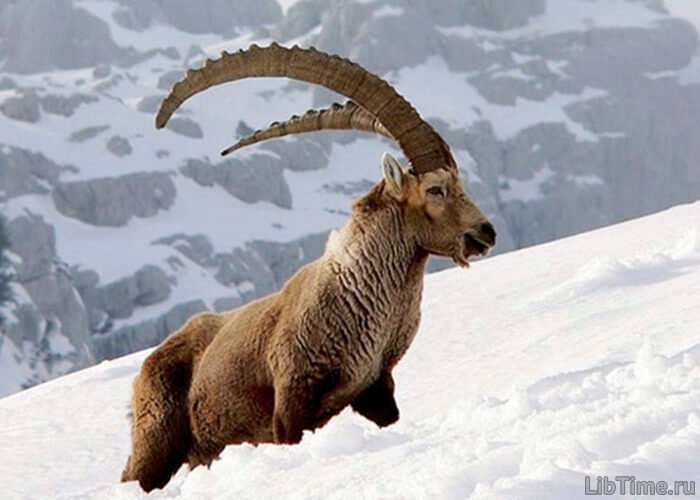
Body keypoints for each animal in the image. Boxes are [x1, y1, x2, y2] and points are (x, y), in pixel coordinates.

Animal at [121, 43, 496, 492]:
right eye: (435, 190)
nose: (486, 232)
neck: (356, 292)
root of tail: (147, 365)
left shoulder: (375, 387)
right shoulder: (290, 401)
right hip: (156, 439)